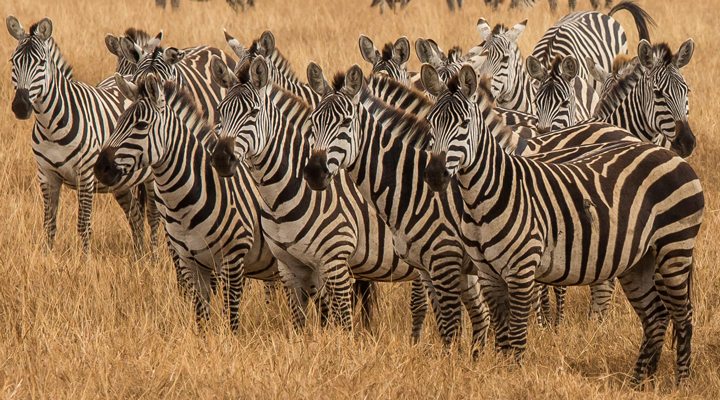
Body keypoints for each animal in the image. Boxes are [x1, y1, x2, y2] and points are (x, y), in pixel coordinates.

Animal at [7, 17, 151, 253]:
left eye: (41, 63)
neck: (51, 126)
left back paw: (154, 253)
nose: (20, 106)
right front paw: (48, 256)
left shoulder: (85, 174)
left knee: (154, 217)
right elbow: (49, 224)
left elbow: (84, 226)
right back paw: (141, 255)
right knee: (136, 218)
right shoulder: (46, 175)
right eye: (13, 61)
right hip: (120, 182)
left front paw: (85, 259)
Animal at [94, 73, 278, 330]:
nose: (100, 168)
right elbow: (201, 315)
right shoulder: (190, 260)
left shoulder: (233, 257)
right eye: (119, 121)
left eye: (140, 126)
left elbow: (231, 317)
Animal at [208, 54, 442, 332]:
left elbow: (342, 322)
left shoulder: (334, 260)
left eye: (253, 113)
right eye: (220, 110)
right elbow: (299, 321)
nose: (220, 159)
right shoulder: (290, 267)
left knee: (420, 304)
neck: (279, 197)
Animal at [420, 65, 704, 384]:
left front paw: (514, 379)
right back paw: (639, 383)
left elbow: (516, 336)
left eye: (464, 124)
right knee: (656, 316)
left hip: (675, 247)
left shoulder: (521, 270)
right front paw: (500, 376)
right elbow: (502, 337)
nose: (434, 175)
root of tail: (670, 154)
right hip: (640, 260)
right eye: (430, 123)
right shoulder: (489, 274)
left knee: (683, 315)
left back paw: (680, 381)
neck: (484, 194)